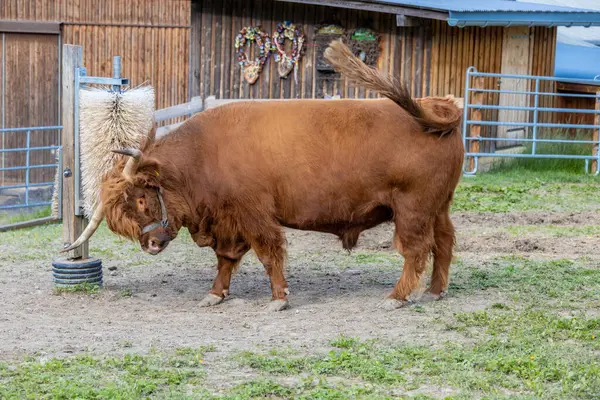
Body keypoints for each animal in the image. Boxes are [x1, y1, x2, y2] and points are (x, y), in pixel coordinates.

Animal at [63, 40, 464, 310]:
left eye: (143, 198)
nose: (151, 244)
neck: (202, 155)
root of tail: (435, 106)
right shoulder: (228, 222)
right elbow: (226, 259)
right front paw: (215, 295)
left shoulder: (255, 215)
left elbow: (268, 254)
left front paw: (278, 299)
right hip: (438, 207)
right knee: (444, 243)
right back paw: (435, 291)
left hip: (412, 208)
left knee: (416, 249)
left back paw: (396, 297)